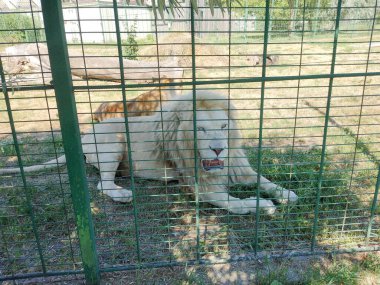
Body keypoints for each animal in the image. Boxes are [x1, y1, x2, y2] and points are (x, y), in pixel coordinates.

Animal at [0, 91, 296, 213]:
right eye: (200, 129)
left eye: (224, 126)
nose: (218, 149)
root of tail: (85, 135)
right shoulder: (200, 187)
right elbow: (233, 203)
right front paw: (261, 205)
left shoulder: (239, 168)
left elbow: (264, 180)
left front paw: (286, 193)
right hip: (114, 143)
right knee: (102, 183)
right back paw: (122, 194)